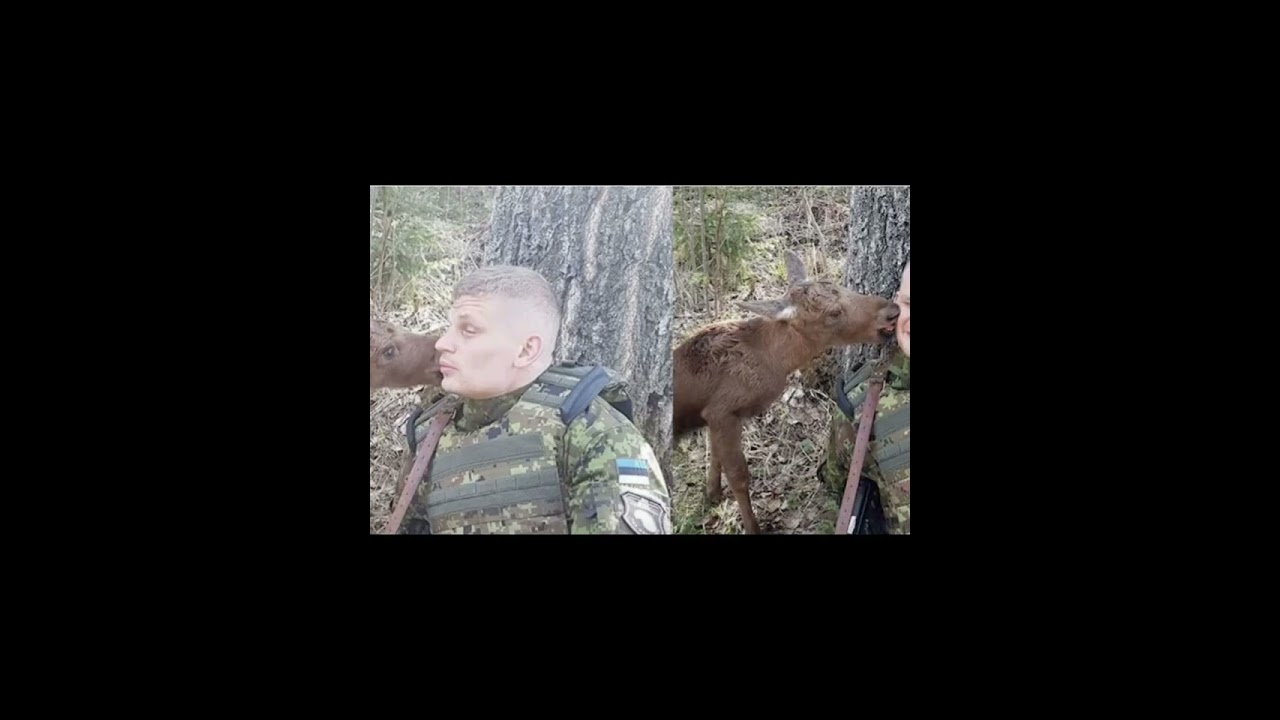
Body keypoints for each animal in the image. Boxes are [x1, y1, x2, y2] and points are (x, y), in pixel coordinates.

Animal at [673, 251, 899, 533]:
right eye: (833, 313)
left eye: (840, 286)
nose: (891, 311)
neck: (774, 361)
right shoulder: (723, 411)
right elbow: (738, 475)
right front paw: (753, 528)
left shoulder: (712, 415)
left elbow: (715, 455)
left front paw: (712, 494)